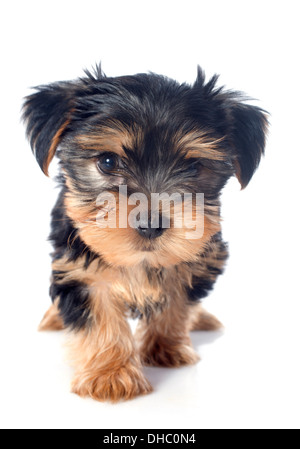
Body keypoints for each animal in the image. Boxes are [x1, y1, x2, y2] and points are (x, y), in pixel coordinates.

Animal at [22, 65, 268, 400]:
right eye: (108, 161)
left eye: (194, 166)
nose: (151, 223)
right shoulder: (78, 268)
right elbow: (99, 316)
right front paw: (110, 375)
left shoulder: (200, 260)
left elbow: (178, 302)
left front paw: (165, 347)